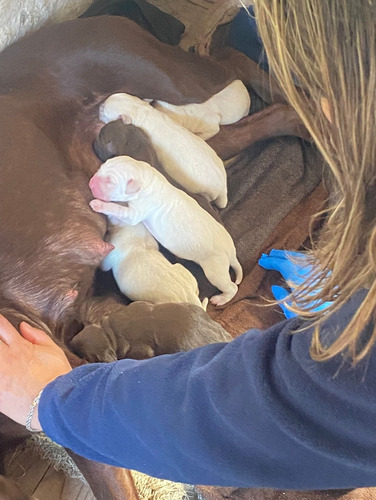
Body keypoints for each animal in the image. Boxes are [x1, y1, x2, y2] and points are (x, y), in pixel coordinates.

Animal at [90, 156, 244, 304]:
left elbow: (120, 211)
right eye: (103, 166)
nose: (91, 183)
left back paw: (221, 299)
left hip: (215, 269)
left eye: (111, 182)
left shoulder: (137, 212)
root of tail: (231, 252)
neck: (147, 178)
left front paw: (99, 205)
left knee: (231, 286)